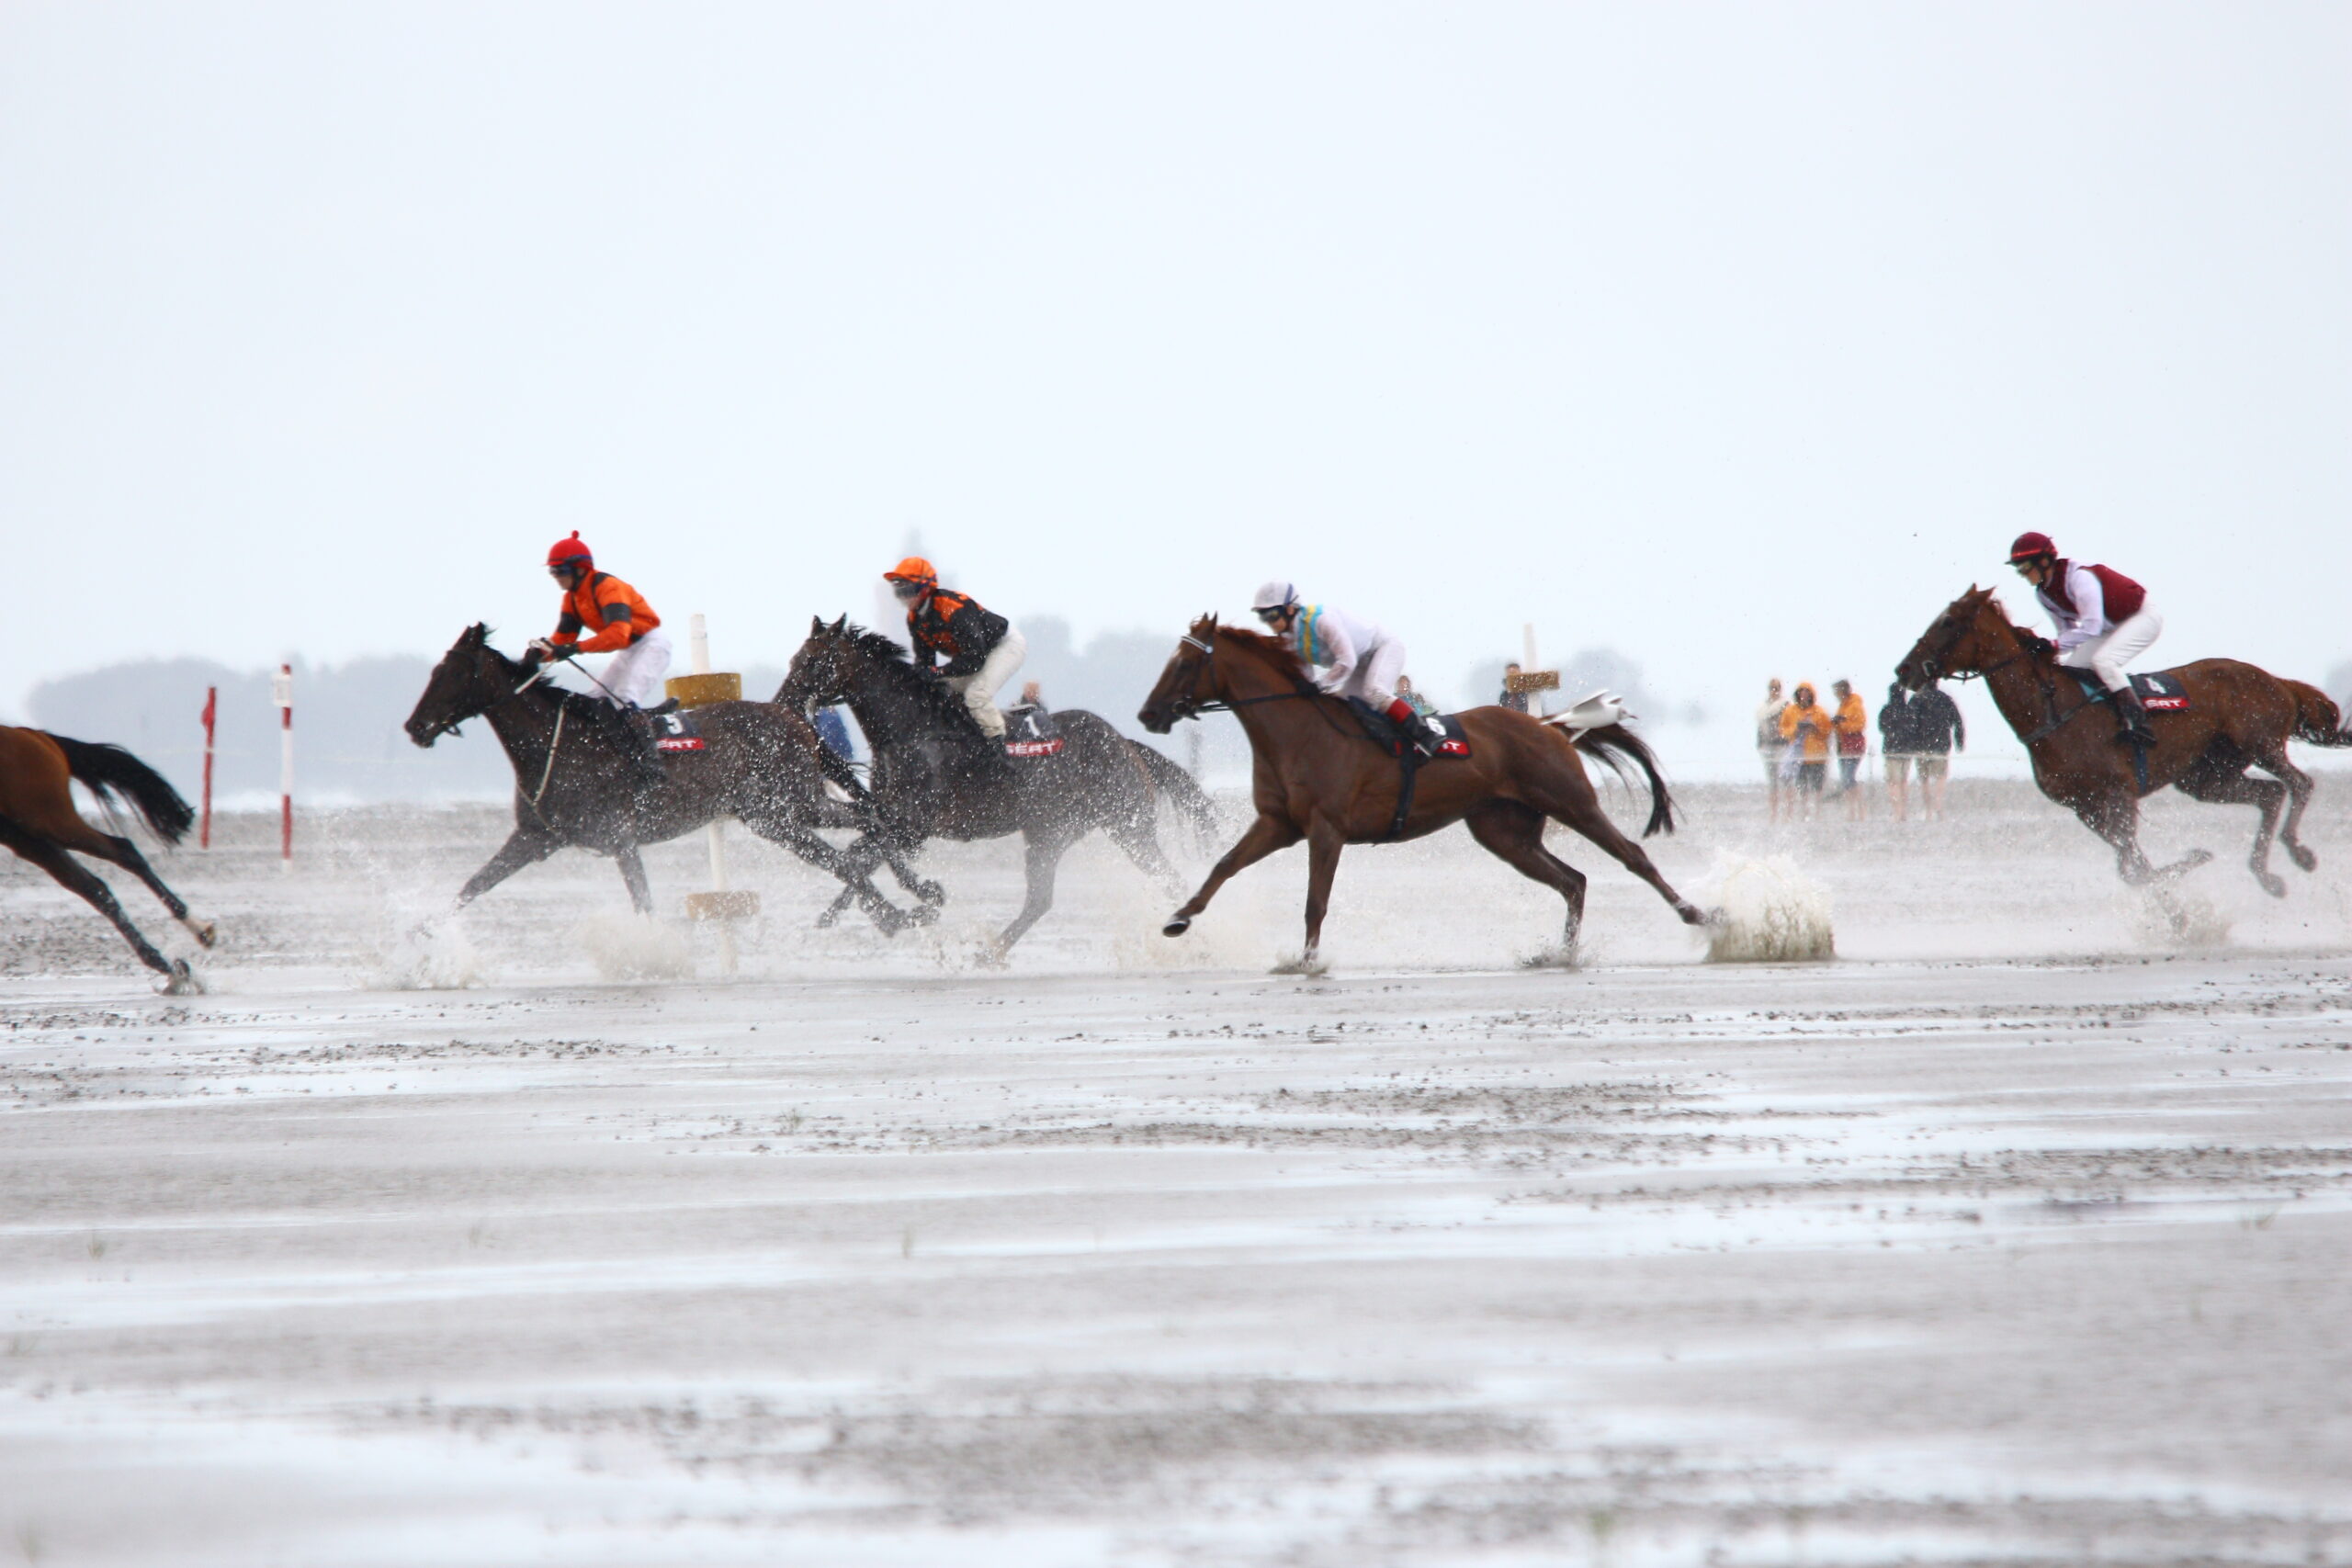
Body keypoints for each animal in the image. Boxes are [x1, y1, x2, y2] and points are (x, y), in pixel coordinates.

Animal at [2, 728, 215, 991]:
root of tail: (32, 734)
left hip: (49, 821)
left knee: (122, 853)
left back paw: (193, 933)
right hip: (25, 836)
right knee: (93, 888)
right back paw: (173, 965)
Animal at [404, 625, 926, 931]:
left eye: (450, 673)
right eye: (436, 670)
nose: (414, 727)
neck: (560, 745)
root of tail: (789, 713)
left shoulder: (618, 837)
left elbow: (643, 902)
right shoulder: (535, 837)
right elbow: (472, 887)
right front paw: (420, 945)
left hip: (791, 805)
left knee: (864, 830)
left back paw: (906, 902)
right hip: (772, 817)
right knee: (856, 839)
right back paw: (903, 905)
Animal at [771, 615, 1223, 959]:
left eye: (814, 661)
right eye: (795, 658)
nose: (784, 701)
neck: (912, 732)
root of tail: (1126, 745)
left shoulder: (912, 827)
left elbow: (863, 857)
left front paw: (904, 910)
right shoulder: (893, 820)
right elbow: (859, 856)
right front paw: (843, 915)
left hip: (1126, 828)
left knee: (1167, 880)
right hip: (1053, 831)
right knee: (1042, 899)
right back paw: (991, 952)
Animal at [1133, 615, 1702, 968]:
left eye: (1184, 663)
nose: (1148, 713)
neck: (1298, 732)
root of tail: (1549, 725)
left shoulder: (1325, 829)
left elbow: (1315, 902)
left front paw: (1307, 962)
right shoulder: (1278, 824)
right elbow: (1224, 865)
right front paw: (1179, 918)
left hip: (1571, 802)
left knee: (1631, 856)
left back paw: (1699, 916)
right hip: (1504, 832)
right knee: (1573, 881)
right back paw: (1559, 954)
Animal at [1891, 585, 2352, 893]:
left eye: (1948, 622)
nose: (1904, 669)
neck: (2054, 712)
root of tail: (2276, 680)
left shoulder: (2117, 795)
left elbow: (2133, 867)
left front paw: (2188, 875)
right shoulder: (2085, 807)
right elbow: (2133, 869)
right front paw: (2177, 908)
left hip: (2260, 742)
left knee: (2299, 783)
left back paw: (2299, 852)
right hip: (2206, 776)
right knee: (2270, 794)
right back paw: (2266, 874)